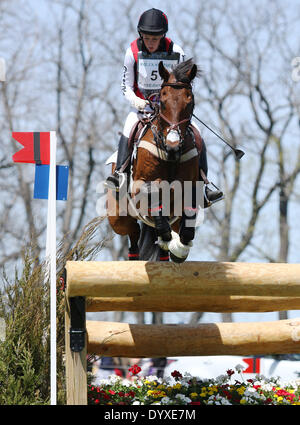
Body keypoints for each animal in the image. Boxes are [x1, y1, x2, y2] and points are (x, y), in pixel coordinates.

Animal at [105, 58, 202, 260]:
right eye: (163, 101)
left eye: (189, 100)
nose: (173, 146)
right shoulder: (140, 185)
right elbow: (153, 194)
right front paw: (169, 239)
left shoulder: (190, 189)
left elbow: (187, 224)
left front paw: (179, 247)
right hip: (119, 218)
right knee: (133, 233)